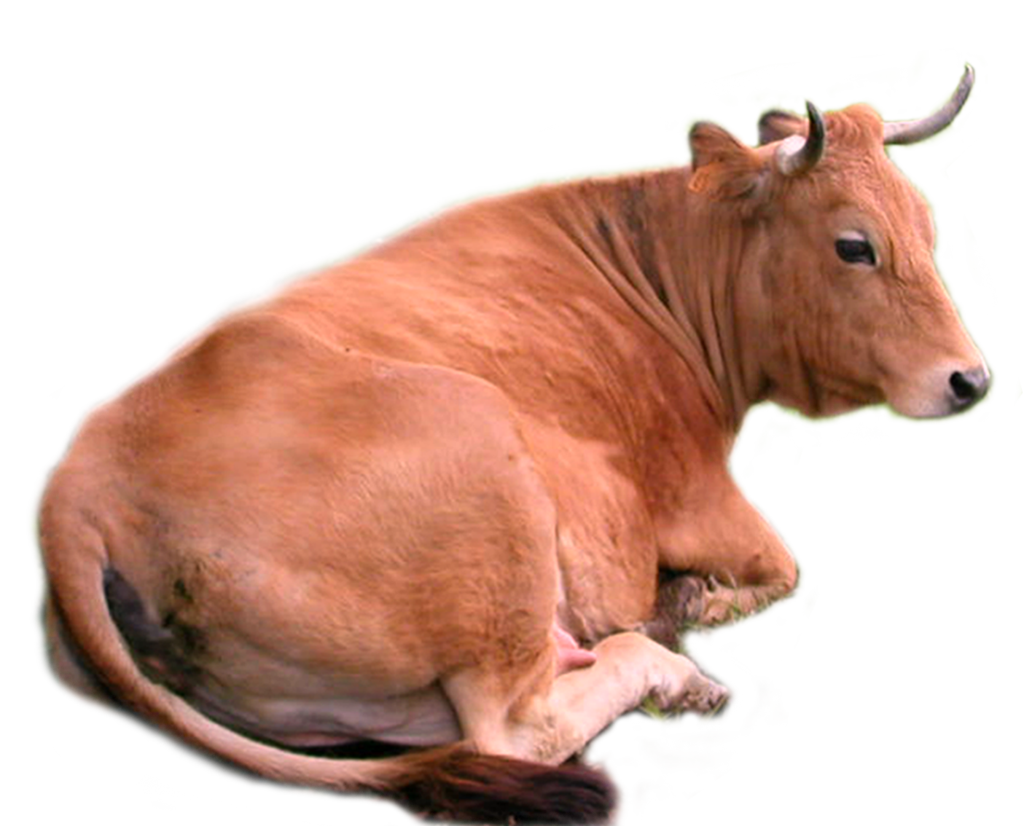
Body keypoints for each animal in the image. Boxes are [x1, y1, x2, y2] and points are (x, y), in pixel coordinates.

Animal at [37, 63, 988, 825]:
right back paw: (674, 661)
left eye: (928, 227)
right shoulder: (698, 498)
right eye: (854, 244)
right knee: (515, 728)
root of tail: (77, 482)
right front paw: (692, 603)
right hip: (484, 475)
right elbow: (785, 568)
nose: (971, 380)